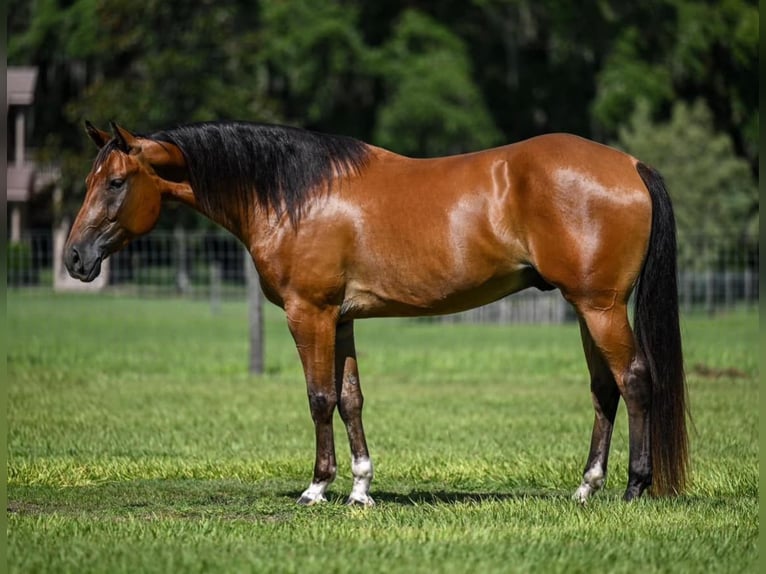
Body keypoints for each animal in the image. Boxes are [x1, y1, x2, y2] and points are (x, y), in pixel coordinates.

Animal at [66, 120, 688, 504]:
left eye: (116, 182)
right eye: (91, 179)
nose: (74, 257)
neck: (296, 194)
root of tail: (631, 164)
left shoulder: (309, 314)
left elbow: (319, 398)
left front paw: (317, 488)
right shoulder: (340, 319)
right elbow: (350, 399)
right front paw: (361, 489)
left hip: (600, 306)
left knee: (634, 380)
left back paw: (634, 487)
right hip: (585, 307)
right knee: (604, 391)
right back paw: (587, 487)